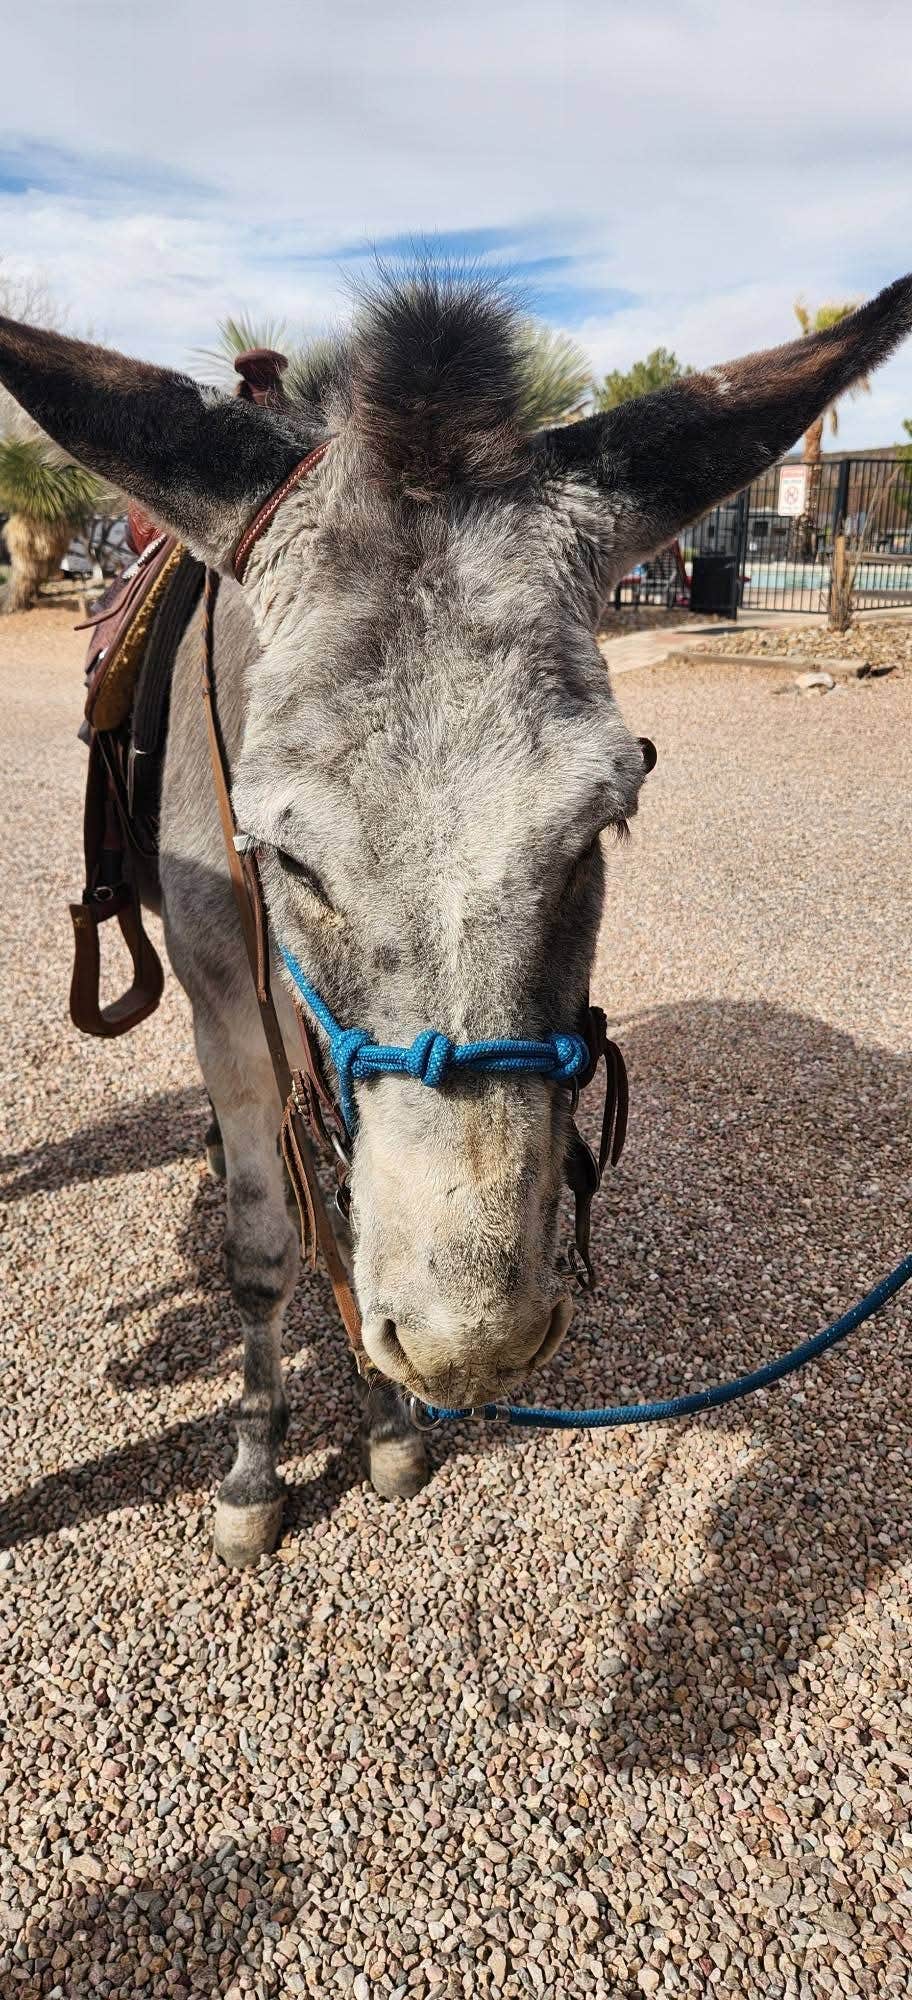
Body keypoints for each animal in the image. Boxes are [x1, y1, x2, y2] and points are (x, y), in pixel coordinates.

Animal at [1, 269, 909, 1565]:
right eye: (285, 852)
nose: (469, 1346)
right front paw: (254, 1464)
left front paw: (388, 1420)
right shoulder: (232, 997)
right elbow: (269, 1246)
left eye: (601, 824)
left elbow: (347, 1216)